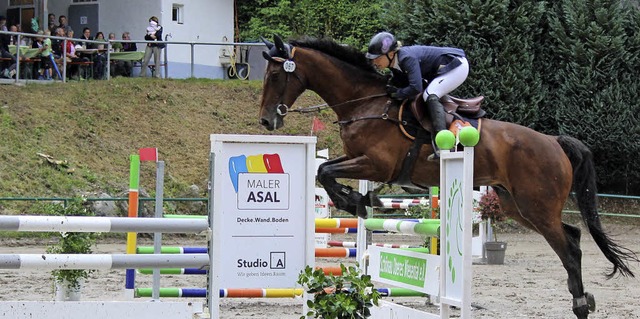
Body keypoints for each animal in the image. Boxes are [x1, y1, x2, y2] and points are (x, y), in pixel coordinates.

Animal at [258, 33, 636, 318]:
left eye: (276, 76)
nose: (266, 120)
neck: (365, 103)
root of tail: (554, 141)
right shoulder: (355, 158)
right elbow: (324, 171)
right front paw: (362, 199)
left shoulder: (375, 164)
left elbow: (326, 172)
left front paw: (359, 202)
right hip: (518, 206)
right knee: (573, 235)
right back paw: (583, 299)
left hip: (537, 207)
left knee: (570, 249)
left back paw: (580, 304)